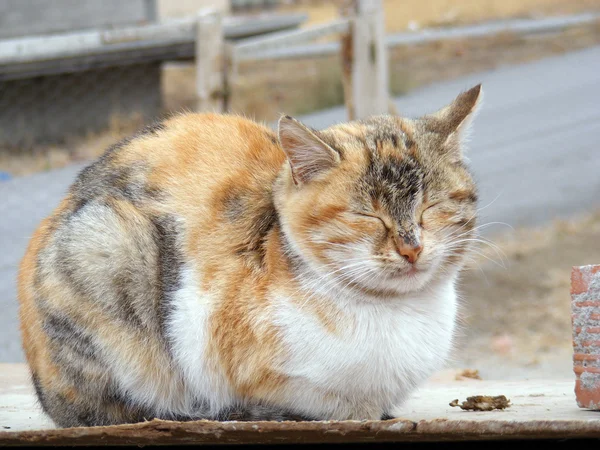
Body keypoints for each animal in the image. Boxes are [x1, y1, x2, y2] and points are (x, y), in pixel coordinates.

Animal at [17, 83, 482, 426]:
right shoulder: (205, 330)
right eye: (368, 215)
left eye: (431, 207)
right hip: (106, 248)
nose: (411, 247)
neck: (396, 310)